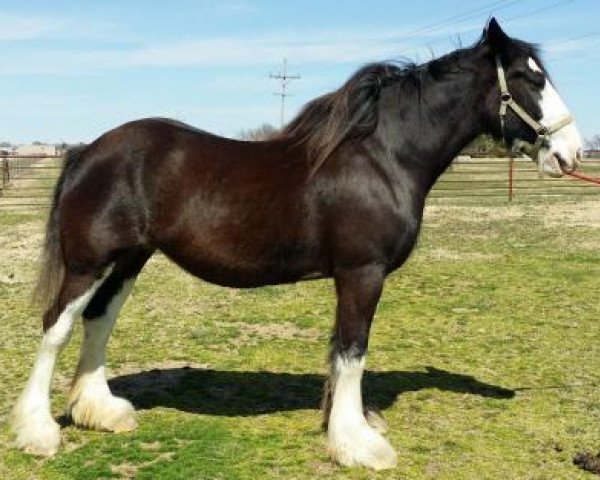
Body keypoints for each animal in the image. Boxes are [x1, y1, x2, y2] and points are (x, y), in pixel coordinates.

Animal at [10, 18, 580, 468]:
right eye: (531, 77)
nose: (571, 153)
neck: (384, 157)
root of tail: (87, 151)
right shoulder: (362, 272)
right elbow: (352, 351)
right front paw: (357, 444)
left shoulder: (350, 277)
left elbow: (339, 351)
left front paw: (344, 424)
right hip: (89, 262)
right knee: (55, 328)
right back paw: (40, 433)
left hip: (131, 258)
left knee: (99, 319)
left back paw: (101, 412)